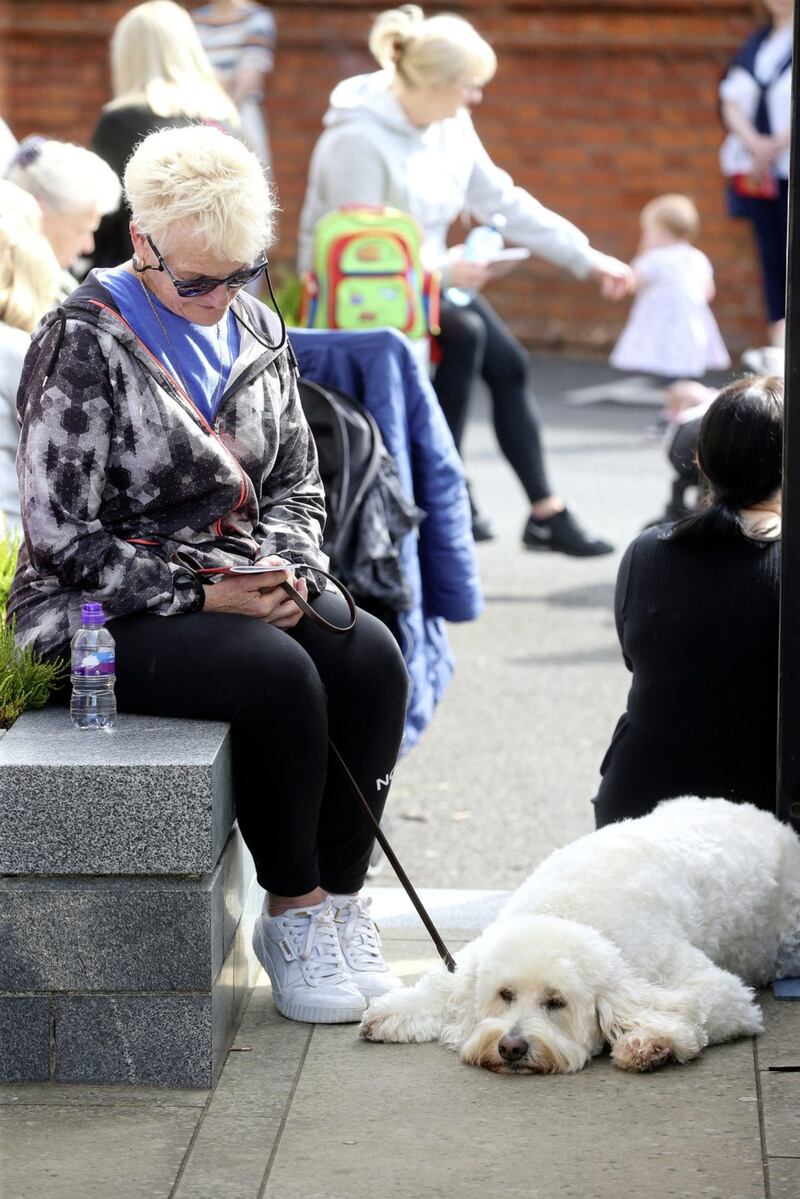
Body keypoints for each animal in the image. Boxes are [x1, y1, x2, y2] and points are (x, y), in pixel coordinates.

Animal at [362, 800, 800, 1074]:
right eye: (505, 995)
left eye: (557, 1002)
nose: (511, 1047)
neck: (567, 909)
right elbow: (442, 992)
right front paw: (393, 1012)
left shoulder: (721, 991)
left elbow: (694, 1005)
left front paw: (650, 1041)